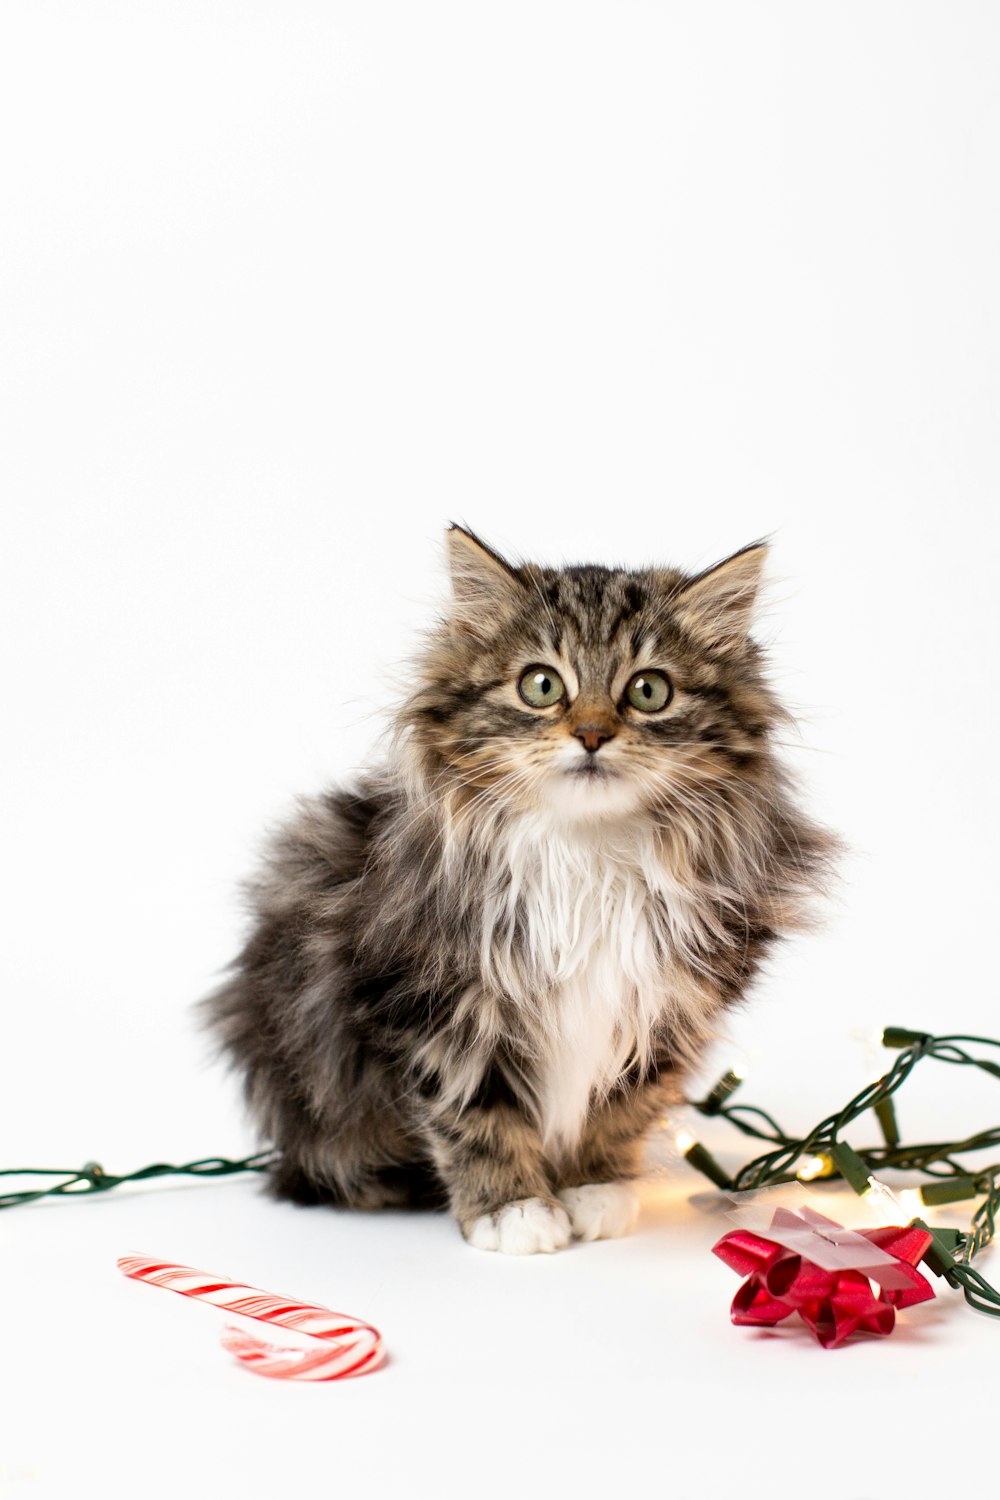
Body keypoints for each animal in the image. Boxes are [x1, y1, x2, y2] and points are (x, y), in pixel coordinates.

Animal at [200, 528, 839, 1254]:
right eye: (541, 685)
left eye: (649, 691)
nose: (591, 734)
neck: (588, 854)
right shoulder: (428, 1002)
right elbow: (474, 1116)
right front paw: (513, 1209)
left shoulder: (663, 1009)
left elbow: (621, 1106)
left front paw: (594, 1188)